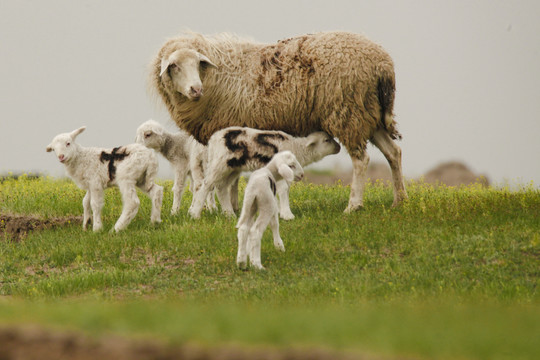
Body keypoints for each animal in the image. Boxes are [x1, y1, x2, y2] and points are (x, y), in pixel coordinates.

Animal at [188, 128, 340, 221]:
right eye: (326, 140)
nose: (339, 148)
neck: (297, 148)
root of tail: (213, 139)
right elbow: (284, 190)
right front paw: (287, 215)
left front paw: (278, 211)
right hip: (220, 164)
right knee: (206, 185)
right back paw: (195, 214)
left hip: (232, 168)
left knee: (221, 188)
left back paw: (229, 214)